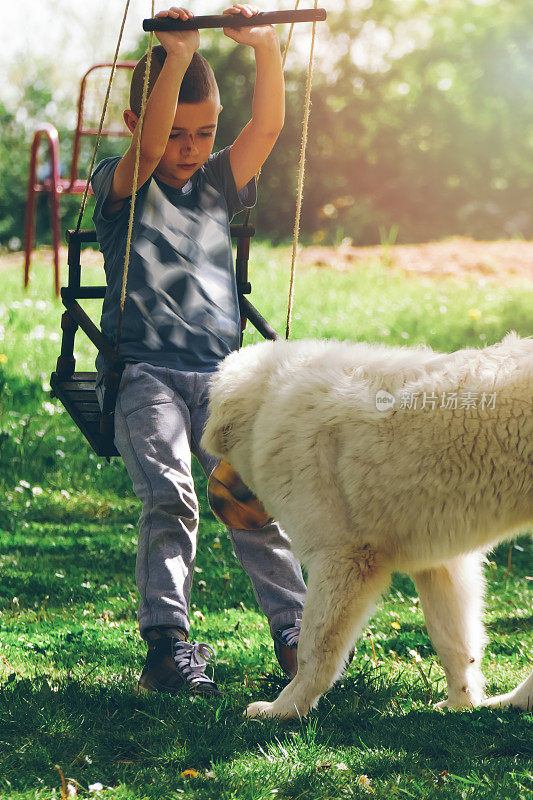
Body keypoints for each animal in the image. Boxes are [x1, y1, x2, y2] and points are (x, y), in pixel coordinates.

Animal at [201, 332, 532, 720]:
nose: (216, 497)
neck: (267, 403)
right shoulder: (440, 563)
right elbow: (454, 640)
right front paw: (460, 703)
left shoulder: (343, 557)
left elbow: (315, 647)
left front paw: (285, 708)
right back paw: (514, 701)